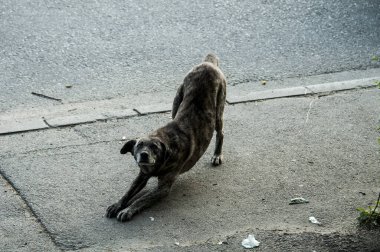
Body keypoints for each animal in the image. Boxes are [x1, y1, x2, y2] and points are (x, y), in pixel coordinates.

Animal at [105, 54, 227, 221]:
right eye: (139, 145)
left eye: (154, 147)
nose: (144, 155)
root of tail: (208, 63)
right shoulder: (142, 174)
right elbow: (129, 192)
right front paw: (118, 204)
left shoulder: (163, 188)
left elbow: (141, 200)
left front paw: (128, 210)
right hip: (177, 99)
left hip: (218, 109)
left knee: (220, 132)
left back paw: (217, 155)